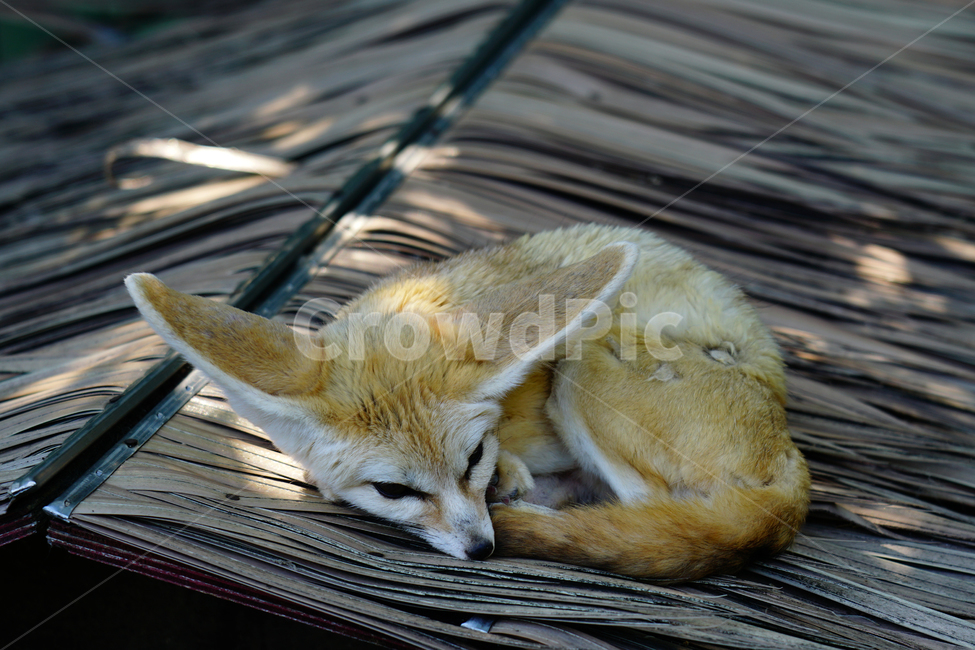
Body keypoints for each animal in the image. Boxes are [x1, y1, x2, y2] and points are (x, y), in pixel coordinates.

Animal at [125, 223, 809, 580]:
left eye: (473, 457)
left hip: (581, 366)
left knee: (653, 512)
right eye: (393, 490)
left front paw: (510, 482)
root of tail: (790, 456)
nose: (483, 549)